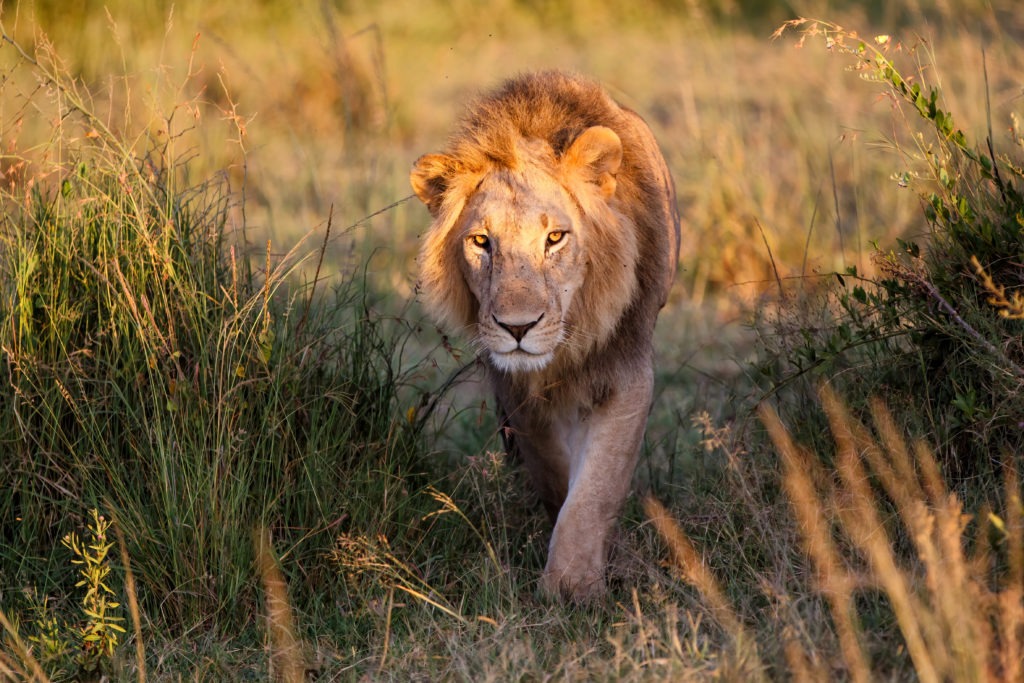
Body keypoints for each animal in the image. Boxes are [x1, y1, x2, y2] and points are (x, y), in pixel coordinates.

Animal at [407, 69, 679, 602]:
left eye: (555, 238)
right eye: (481, 242)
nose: (518, 328)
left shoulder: (627, 371)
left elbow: (595, 487)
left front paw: (573, 585)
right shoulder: (513, 387)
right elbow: (553, 468)